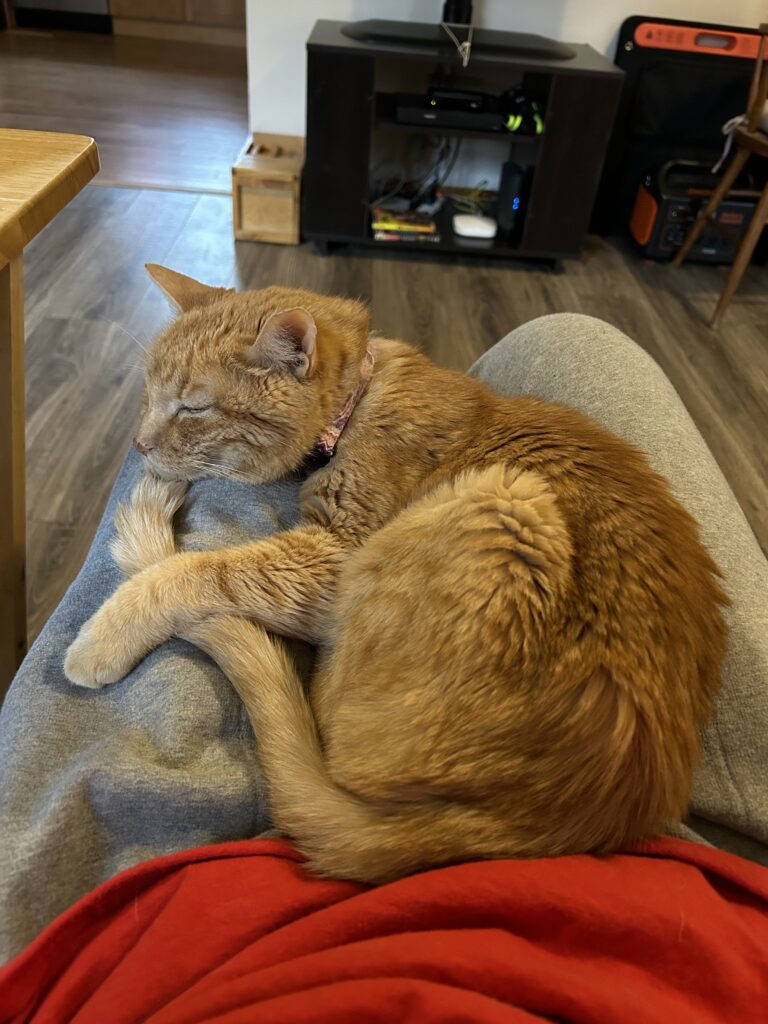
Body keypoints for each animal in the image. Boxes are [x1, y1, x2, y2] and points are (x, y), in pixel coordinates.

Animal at [64, 268, 729, 884]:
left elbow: (193, 571)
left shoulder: (335, 562)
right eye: (147, 393)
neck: (356, 406)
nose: (139, 445)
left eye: (194, 407)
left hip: (506, 500)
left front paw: (103, 636)